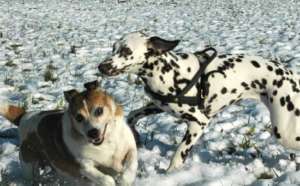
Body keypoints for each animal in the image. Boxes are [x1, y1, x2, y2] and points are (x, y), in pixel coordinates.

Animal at [0, 80, 138, 186]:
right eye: (79, 117)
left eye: (99, 110)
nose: (92, 133)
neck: (105, 144)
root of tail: (25, 116)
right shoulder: (83, 166)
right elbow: (104, 179)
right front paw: (111, 181)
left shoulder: (130, 147)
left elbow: (131, 162)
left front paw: (125, 179)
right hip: (28, 165)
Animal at [99, 31, 300, 171]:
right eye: (113, 48)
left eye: (126, 50)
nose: (100, 66)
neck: (169, 71)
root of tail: (292, 75)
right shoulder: (158, 106)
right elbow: (132, 116)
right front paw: (137, 137)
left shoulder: (199, 122)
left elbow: (179, 153)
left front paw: (171, 174)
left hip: (284, 132)